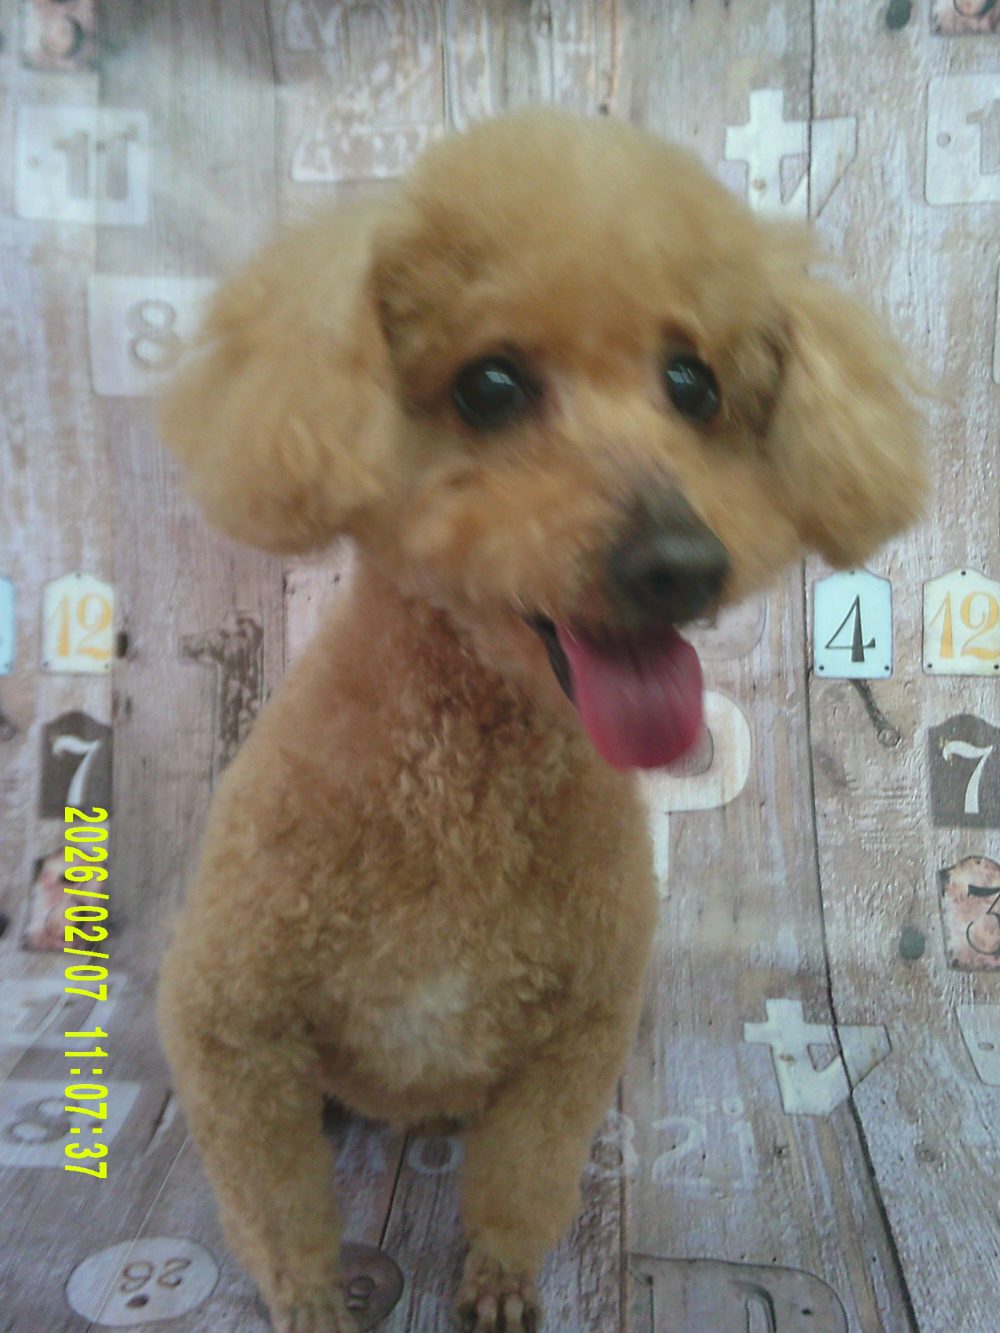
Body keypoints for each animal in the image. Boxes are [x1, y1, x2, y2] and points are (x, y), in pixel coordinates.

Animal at [156, 109, 925, 1332]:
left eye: (693, 384)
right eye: (490, 384)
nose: (679, 560)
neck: (460, 784)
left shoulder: (578, 1033)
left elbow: (524, 1177)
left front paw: (502, 1281)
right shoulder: (232, 1027)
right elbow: (276, 1206)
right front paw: (313, 1299)